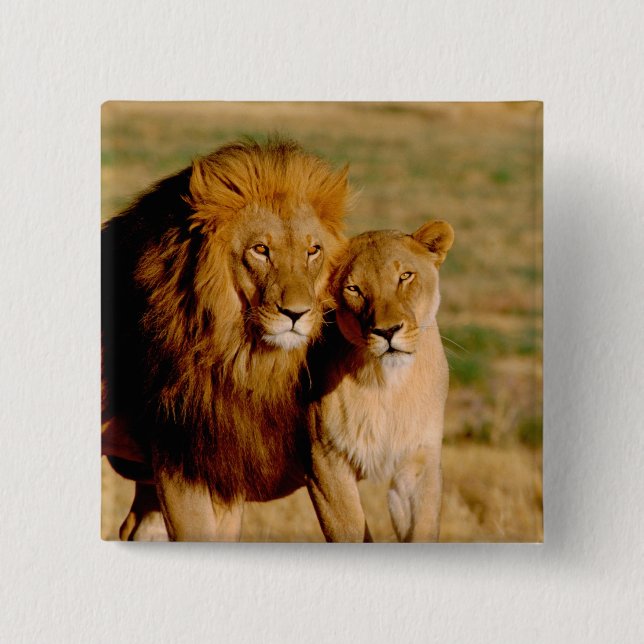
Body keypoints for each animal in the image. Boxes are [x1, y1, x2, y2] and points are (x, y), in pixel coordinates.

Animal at [102, 138, 351, 541]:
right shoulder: (179, 462)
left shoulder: (226, 465)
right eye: (260, 250)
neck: (240, 357)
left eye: (313, 250)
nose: (297, 314)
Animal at [306, 220, 454, 542]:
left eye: (405, 276)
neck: (387, 385)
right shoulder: (324, 463)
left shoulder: (419, 460)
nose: (387, 332)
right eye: (354, 289)